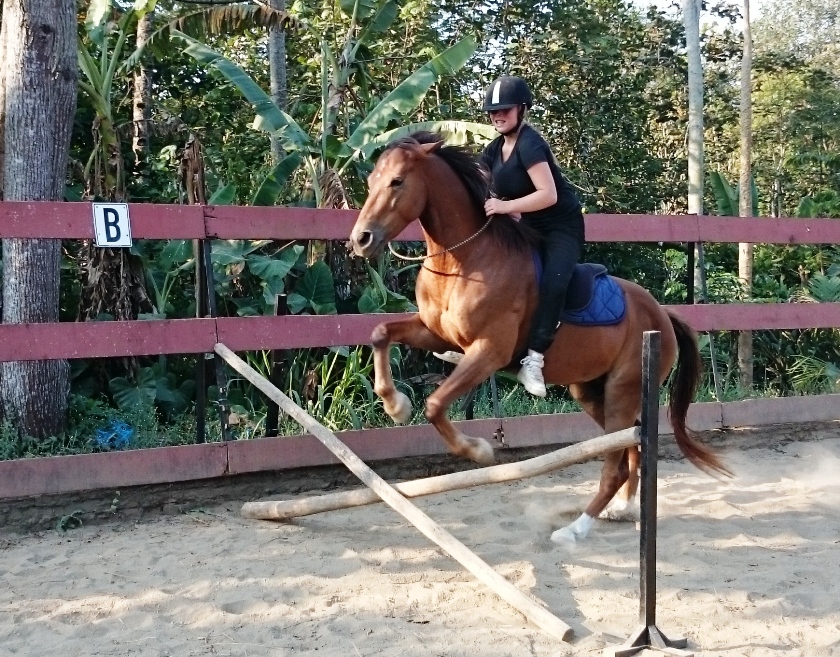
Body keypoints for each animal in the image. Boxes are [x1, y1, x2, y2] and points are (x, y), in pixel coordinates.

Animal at [348, 132, 728, 544]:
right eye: (371, 181)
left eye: (397, 181)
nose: (361, 239)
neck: (463, 260)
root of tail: (662, 315)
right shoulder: (436, 335)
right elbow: (381, 333)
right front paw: (395, 405)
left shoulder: (488, 352)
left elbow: (434, 405)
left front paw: (478, 450)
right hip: (592, 392)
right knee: (631, 448)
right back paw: (624, 510)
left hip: (622, 391)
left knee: (616, 465)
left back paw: (574, 530)